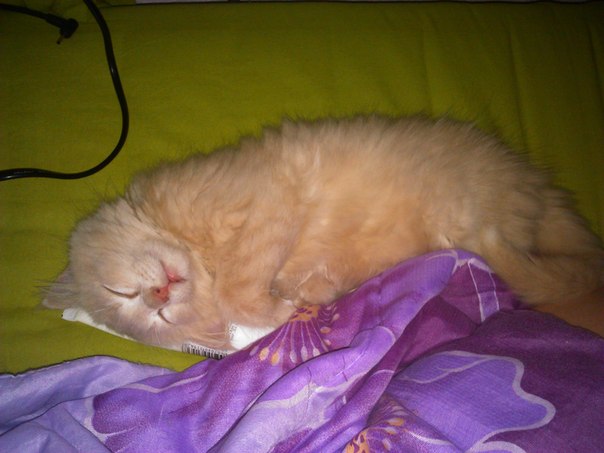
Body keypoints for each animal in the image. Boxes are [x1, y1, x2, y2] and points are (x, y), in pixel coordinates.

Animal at [43, 116, 604, 352]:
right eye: (153, 317)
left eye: (123, 292)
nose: (159, 294)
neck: (202, 253)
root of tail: (535, 183)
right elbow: (284, 290)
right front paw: (293, 306)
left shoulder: (264, 200)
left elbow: (238, 289)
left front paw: (274, 310)